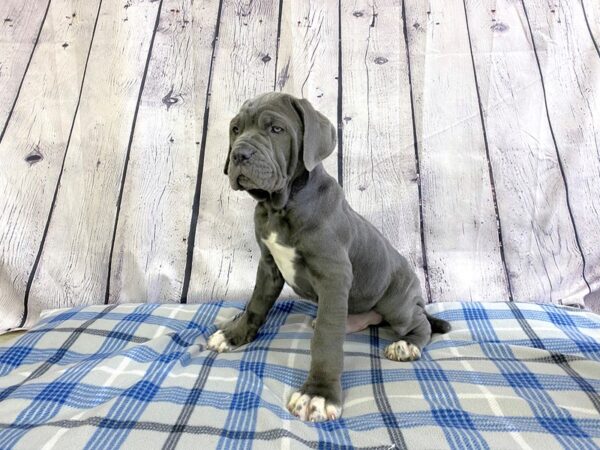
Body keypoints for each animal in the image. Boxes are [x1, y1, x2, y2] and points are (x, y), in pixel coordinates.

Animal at [207, 91, 450, 422]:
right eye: (235, 129)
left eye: (276, 130)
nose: (239, 154)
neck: (281, 206)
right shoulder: (268, 265)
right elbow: (256, 303)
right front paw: (234, 334)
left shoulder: (333, 276)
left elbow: (326, 336)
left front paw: (318, 394)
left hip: (397, 304)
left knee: (418, 323)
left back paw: (406, 345)